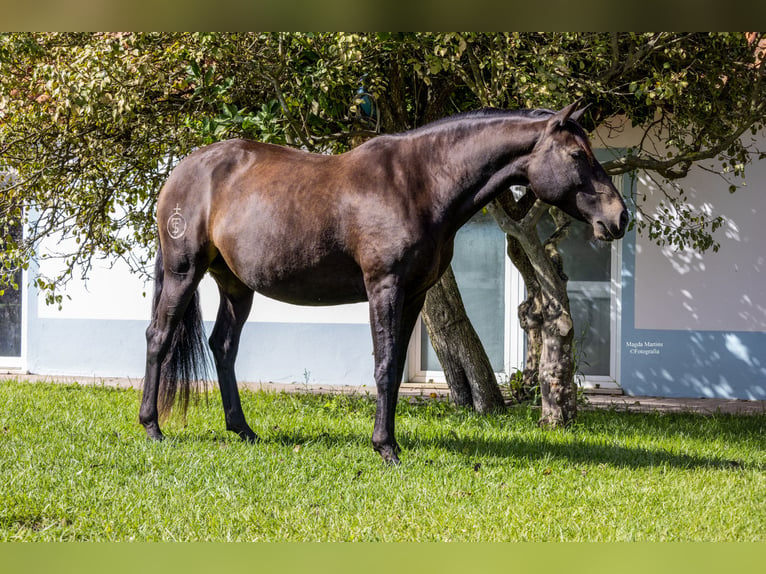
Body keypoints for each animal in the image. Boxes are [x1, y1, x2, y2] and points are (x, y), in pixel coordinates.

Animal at [140, 102, 632, 464]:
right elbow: (383, 363)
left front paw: (390, 442)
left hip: (236, 286)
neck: (418, 182)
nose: (619, 217)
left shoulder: (414, 294)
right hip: (184, 272)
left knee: (222, 346)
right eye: (576, 155)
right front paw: (386, 448)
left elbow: (394, 369)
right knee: (159, 337)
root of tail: (180, 173)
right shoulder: (385, 288)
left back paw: (242, 429)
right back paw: (153, 427)